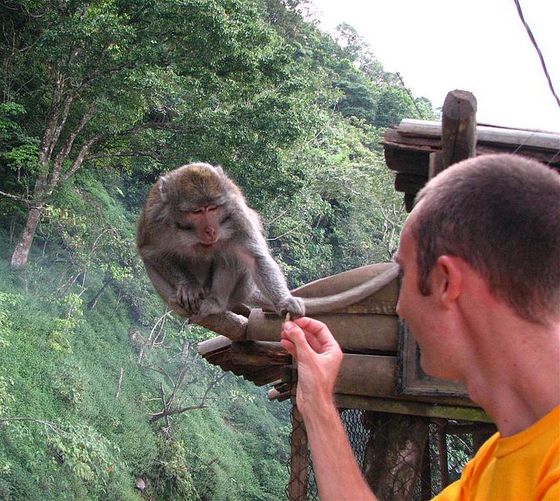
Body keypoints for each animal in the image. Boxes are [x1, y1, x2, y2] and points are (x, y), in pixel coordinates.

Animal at [137, 162, 306, 322]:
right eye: (197, 211)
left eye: (212, 208)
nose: (210, 230)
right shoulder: (154, 217)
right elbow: (152, 252)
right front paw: (188, 285)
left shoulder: (237, 214)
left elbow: (255, 258)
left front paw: (285, 301)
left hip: (238, 292)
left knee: (230, 254)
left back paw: (216, 303)